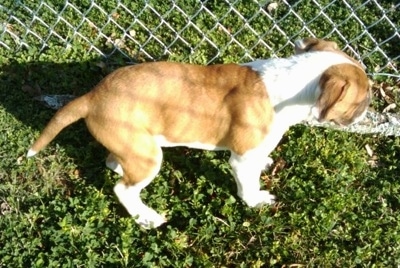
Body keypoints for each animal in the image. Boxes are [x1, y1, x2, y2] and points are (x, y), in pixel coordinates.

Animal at [27, 38, 372, 228]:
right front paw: (256, 200)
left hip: (137, 144)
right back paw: (145, 217)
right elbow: (247, 187)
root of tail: (92, 96)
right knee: (123, 190)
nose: (368, 108)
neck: (296, 84)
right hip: (147, 157)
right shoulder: (240, 160)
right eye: (361, 99)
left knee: (116, 164)